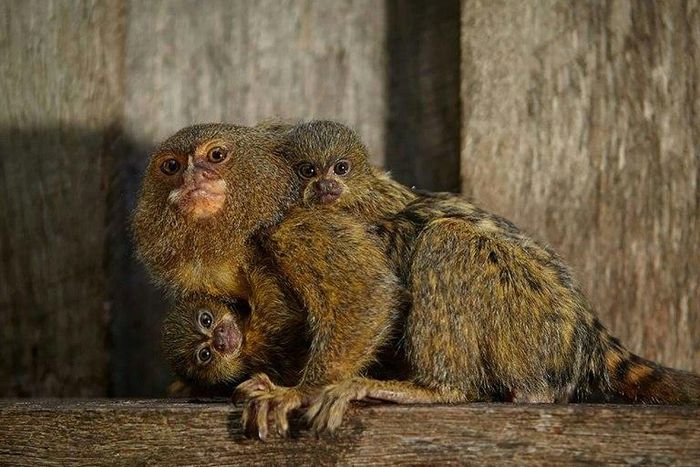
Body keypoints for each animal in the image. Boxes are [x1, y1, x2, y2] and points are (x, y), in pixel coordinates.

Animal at [134, 123, 404, 439]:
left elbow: (364, 291)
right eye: (172, 166)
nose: (192, 178)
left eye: (216, 155)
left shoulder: (295, 226)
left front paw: (304, 391)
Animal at [232, 120, 700, 435]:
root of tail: (585, 332)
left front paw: (301, 390)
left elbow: (366, 296)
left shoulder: (300, 229)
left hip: (531, 320)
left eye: (339, 168)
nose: (326, 187)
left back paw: (434, 389)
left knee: (447, 240)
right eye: (307, 171)